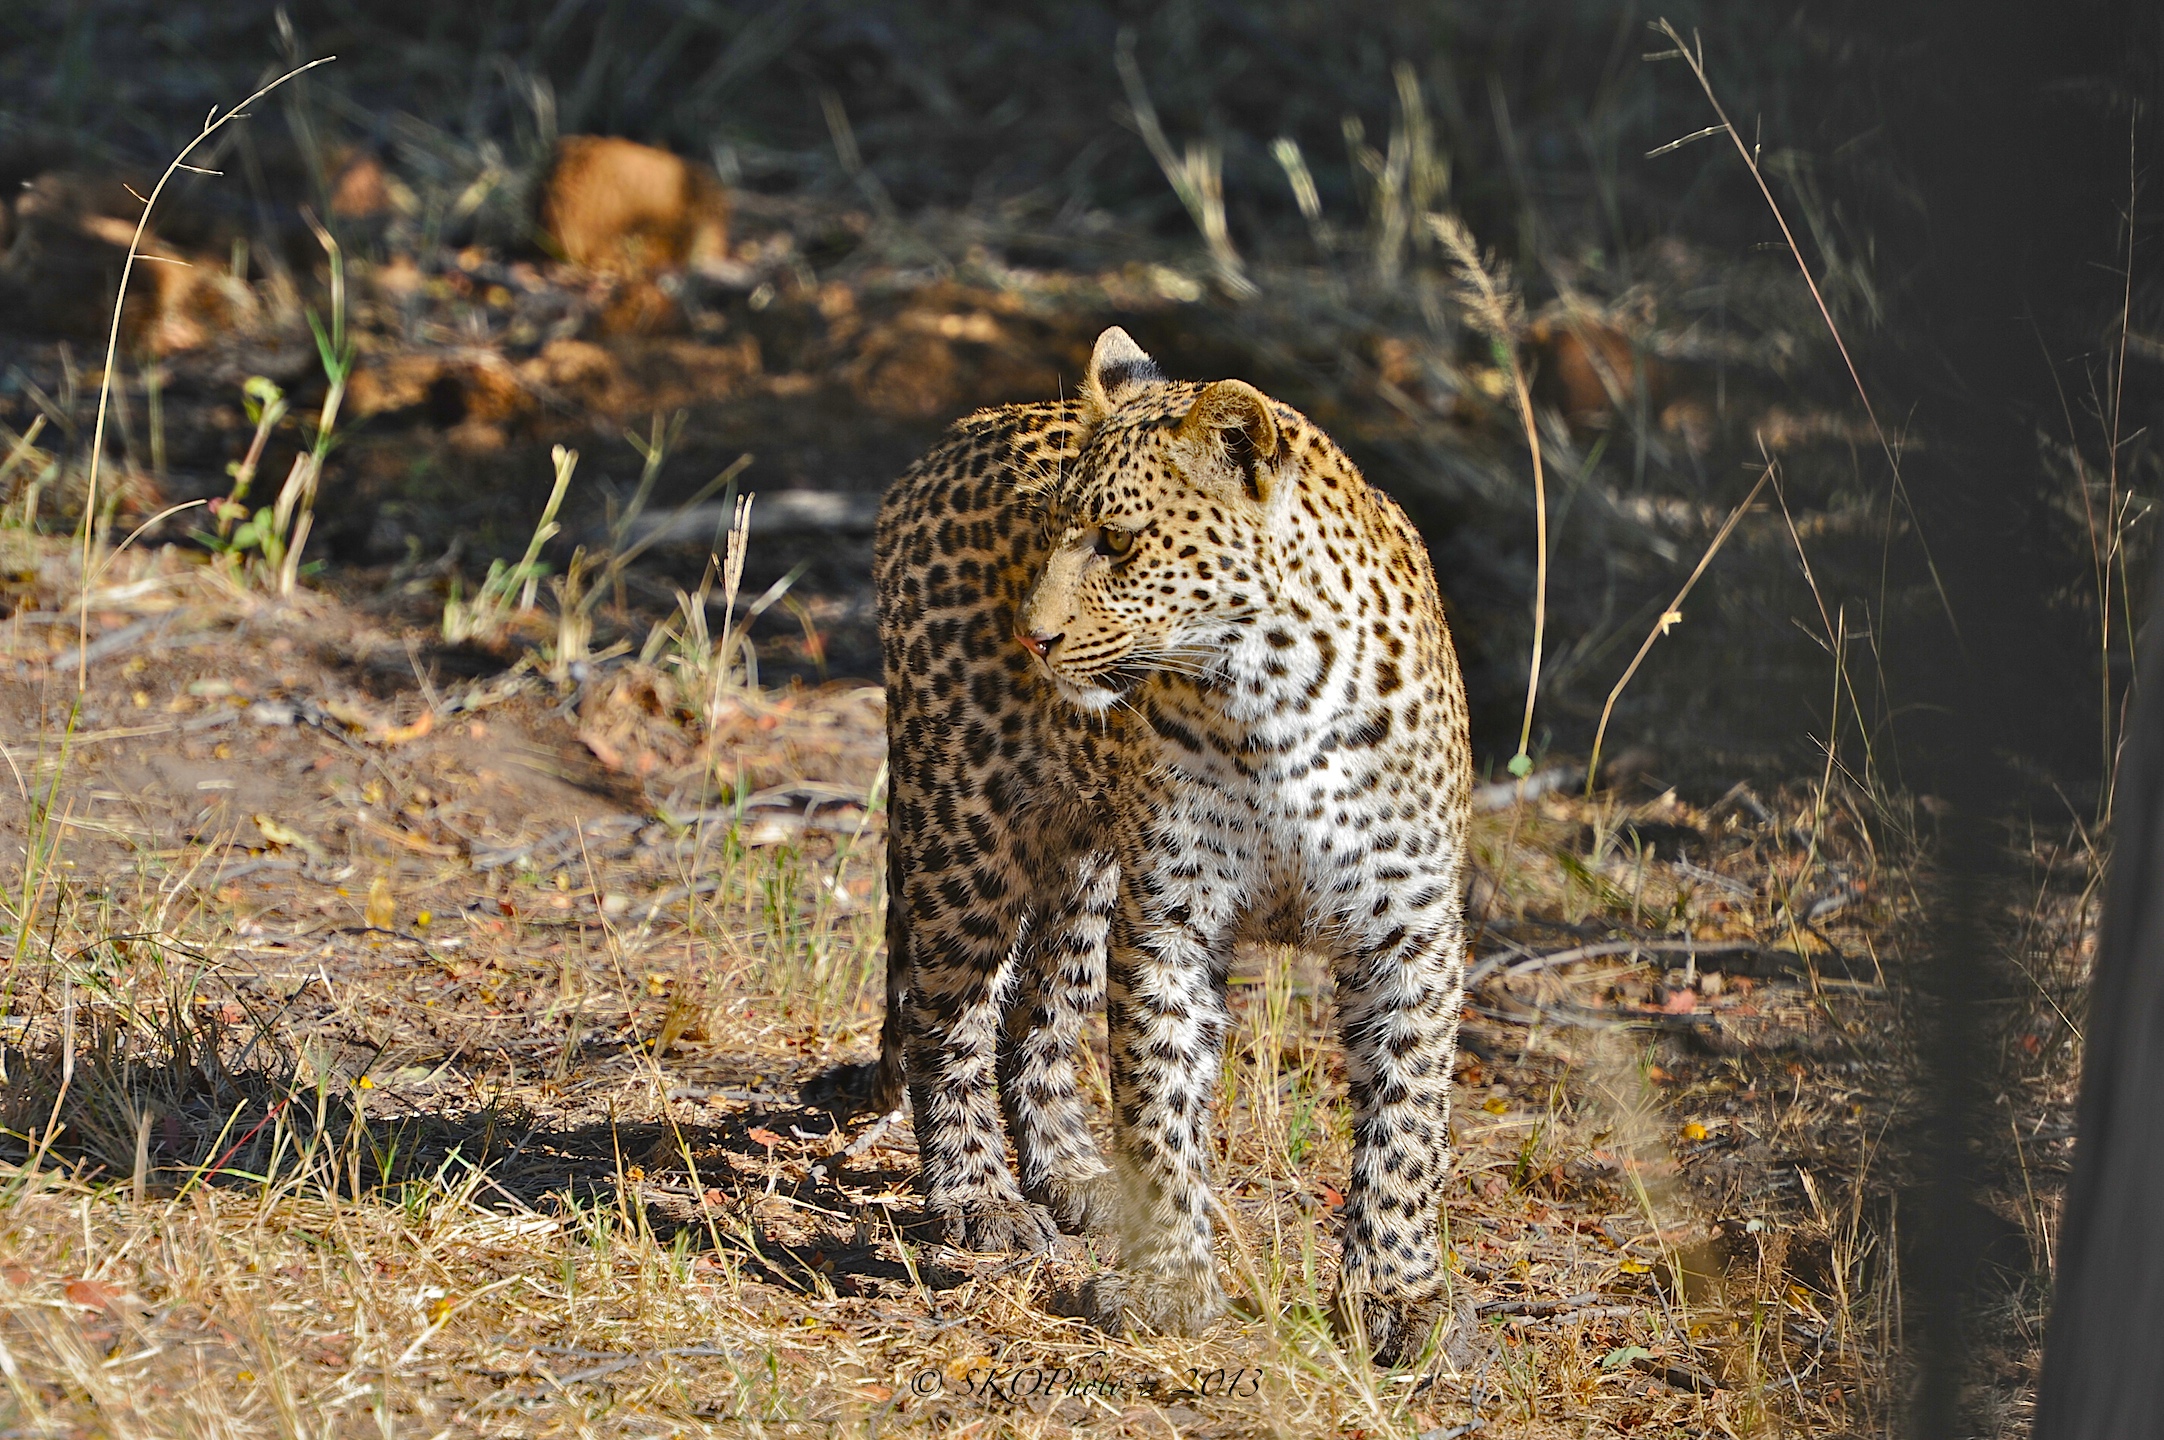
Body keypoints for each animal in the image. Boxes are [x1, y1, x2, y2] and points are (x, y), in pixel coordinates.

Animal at [865, 326, 1472, 1365]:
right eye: (1052, 530)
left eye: (1117, 541)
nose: (1032, 636)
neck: (1275, 694)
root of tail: (959, 432)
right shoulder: (1173, 920)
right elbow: (1160, 1101)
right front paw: (1174, 1281)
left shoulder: (1410, 928)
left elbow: (1408, 1122)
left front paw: (1396, 1295)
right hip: (966, 828)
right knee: (947, 1020)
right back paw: (981, 1197)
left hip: (1086, 861)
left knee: (1043, 1008)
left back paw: (1072, 1172)